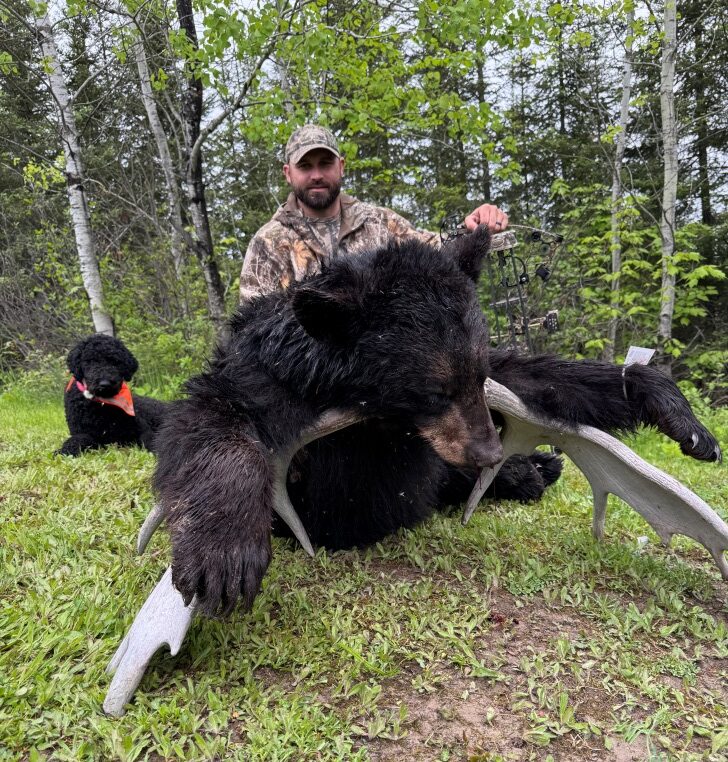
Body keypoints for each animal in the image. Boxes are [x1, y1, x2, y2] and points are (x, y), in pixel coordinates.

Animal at [153, 226, 720, 617]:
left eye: (478, 375)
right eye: (432, 390)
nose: (490, 452)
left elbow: (546, 379)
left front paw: (672, 408)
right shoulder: (267, 381)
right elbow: (206, 422)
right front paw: (225, 552)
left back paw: (532, 469)